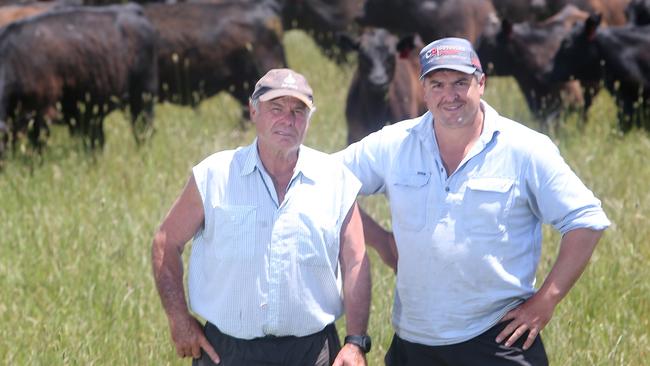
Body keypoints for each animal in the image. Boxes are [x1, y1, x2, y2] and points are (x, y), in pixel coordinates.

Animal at [0, 3, 157, 154]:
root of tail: (132, 10)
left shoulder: (40, 113)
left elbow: (38, 144)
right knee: (96, 139)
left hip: (142, 99)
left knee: (143, 130)